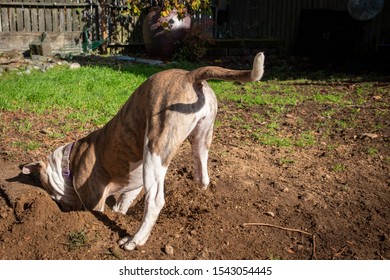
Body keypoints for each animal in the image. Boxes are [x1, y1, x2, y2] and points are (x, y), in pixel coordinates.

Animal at [22, 52, 266, 249]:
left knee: (155, 201)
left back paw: (134, 240)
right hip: (201, 137)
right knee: (202, 174)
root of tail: (189, 75)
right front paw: (120, 212)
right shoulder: (133, 183)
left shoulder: (94, 198)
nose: (61, 207)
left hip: (155, 150)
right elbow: (123, 203)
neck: (69, 160)